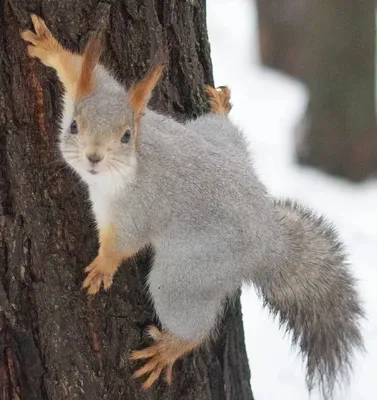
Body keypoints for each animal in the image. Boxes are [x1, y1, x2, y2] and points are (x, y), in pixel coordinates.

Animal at [22, 14, 362, 398]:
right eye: (74, 126)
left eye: (126, 136)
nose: (94, 157)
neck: (127, 166)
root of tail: (271, 242)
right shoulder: (96, 91)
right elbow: (84, 69)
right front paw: (49, 48)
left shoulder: (140, 208)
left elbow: (125, 243)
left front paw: (103, 266)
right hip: (217, 142)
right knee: (226, 133)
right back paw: (221, 108)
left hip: (187, 274)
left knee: (193, 323)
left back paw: (170, 348)